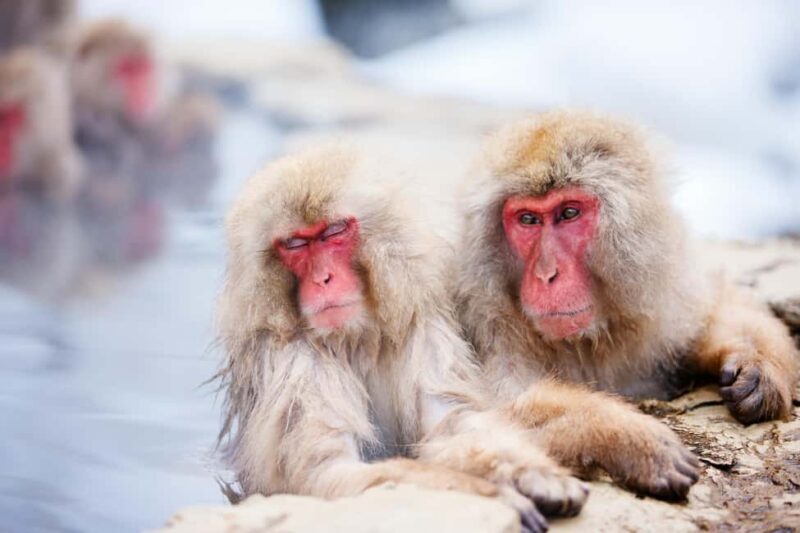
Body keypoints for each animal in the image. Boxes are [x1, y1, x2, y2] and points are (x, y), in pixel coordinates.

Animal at [215, 144, 593, 533]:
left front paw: (531, 473)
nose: (322, 279)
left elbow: (453, 422)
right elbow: (325, 474)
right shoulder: (291, 361)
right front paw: (494, 495)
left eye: (333, 232)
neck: (352, 337)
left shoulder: (421, 323)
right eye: (294, 244)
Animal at [453, 110, 797, 495]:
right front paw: (628, 440)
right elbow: (473, 415)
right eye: (528, 219)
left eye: (569, 213)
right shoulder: (483, 320)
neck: (586, 341)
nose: (546, 274)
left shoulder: (664, 297)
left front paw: (758, 365)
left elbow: (717, 302)